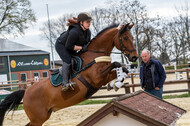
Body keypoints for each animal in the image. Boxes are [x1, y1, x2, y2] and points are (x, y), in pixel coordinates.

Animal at [0, 22, 137, 125]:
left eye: (132, 38)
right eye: (125, 38)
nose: (134, 57)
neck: (94, 54)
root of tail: (26, 91)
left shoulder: (103, 77)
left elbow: (122, 69)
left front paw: (116, 84)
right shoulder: (97, 78)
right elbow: (116, 64)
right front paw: (116, 83)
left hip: (42, 117)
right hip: (38, 119)